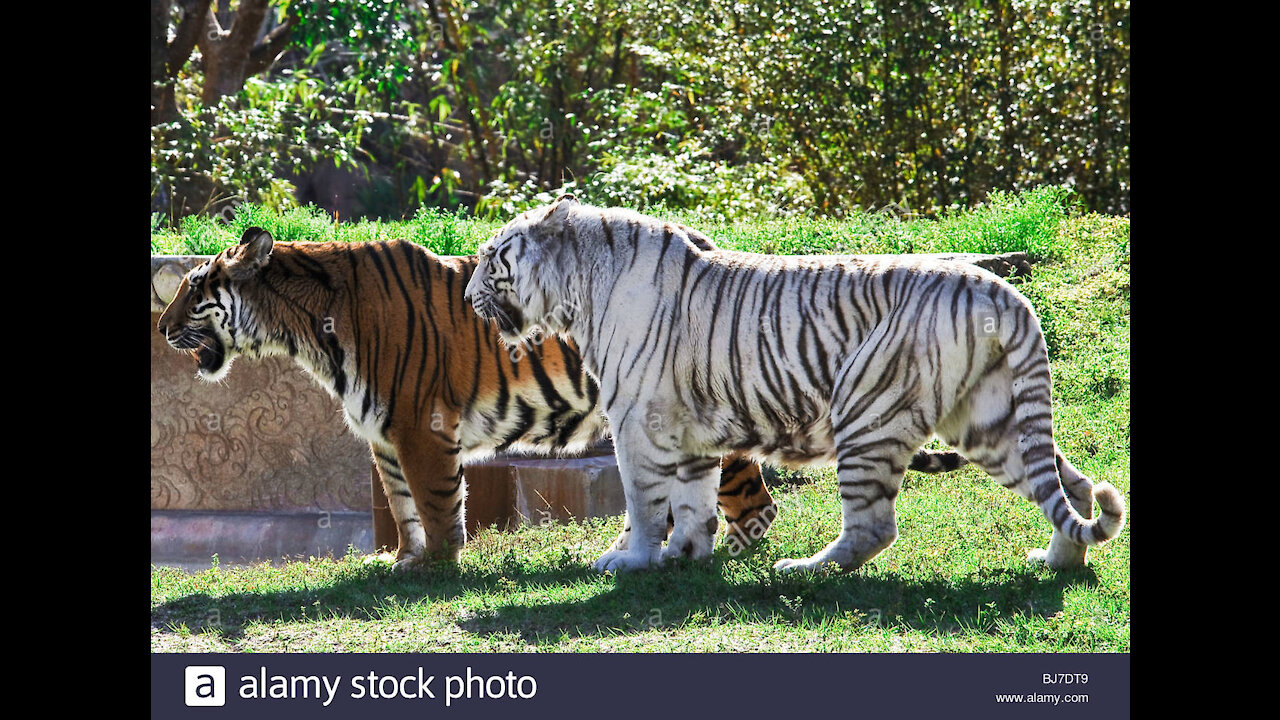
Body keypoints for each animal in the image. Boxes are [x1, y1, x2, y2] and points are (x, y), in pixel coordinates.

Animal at [465, 194, 1126, 571]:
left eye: (492, 257)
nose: (469, 299)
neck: (577, 287)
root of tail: (999, 289)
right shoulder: (684, 429)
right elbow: (693, 498)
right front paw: (685, 556)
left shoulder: (639, 422)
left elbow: (644, 501)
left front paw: (633, 561)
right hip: (990, 421)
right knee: (1063, 488)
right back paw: (1058, 560)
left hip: (867, 408)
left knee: (874, 526)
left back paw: (807, 569)